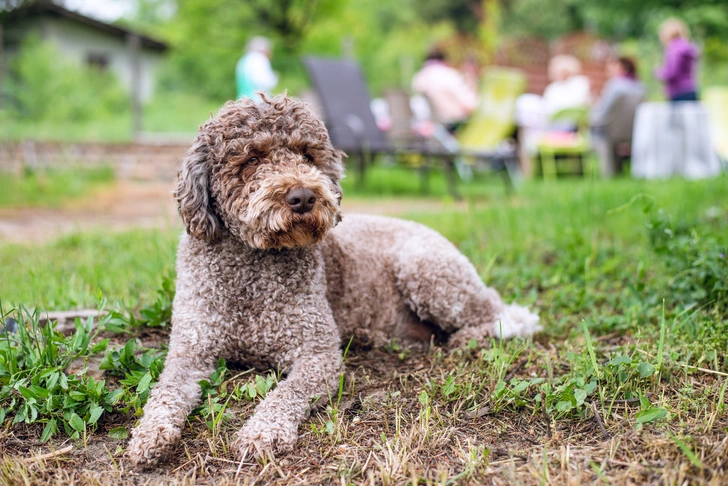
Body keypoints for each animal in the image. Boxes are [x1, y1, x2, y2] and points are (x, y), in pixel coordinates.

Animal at [126, 96, 540, 468]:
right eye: (252, 159)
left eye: (307, 155)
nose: (303, 196)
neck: (252, 266)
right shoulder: (191, 350)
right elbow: (166, 391)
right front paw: (149, 436)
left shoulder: (318, 355)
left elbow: (286, 393)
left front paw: (262, 432)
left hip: (425, 270)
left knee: (507, 314)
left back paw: (468, 337)